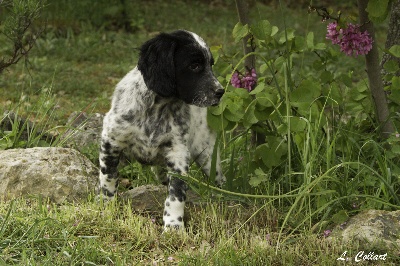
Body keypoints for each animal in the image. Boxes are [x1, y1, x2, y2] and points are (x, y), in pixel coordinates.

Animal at [98, 30, 225, 230]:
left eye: (210, 65)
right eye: (195, 65)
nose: (221, 91)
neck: (158, 108)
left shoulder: (178, 153)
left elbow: (176, 195)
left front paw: (173, 227)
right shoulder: (111, 142)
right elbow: (108, 179)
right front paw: (107, 209)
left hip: (207, 154)